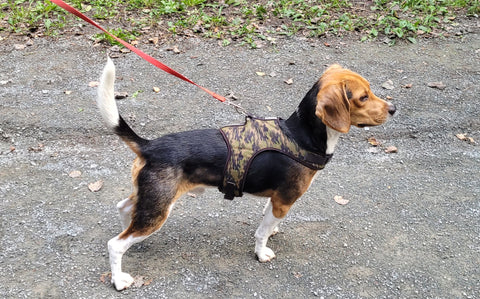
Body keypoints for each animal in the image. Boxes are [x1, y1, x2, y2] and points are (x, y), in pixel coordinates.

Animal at [95, 58, 396, 290]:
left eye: (371, 91)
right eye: (363, 97)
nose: (393, 109)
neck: (302, 136)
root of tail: (149, 145)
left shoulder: (276, 200)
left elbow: (268, 221)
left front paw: (274, 230)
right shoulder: (284, 200)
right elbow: (261, 233)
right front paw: (262, 253)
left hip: (148, 198)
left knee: (124, 209)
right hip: (158, 209)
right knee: (115, 244)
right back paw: (119, 279)